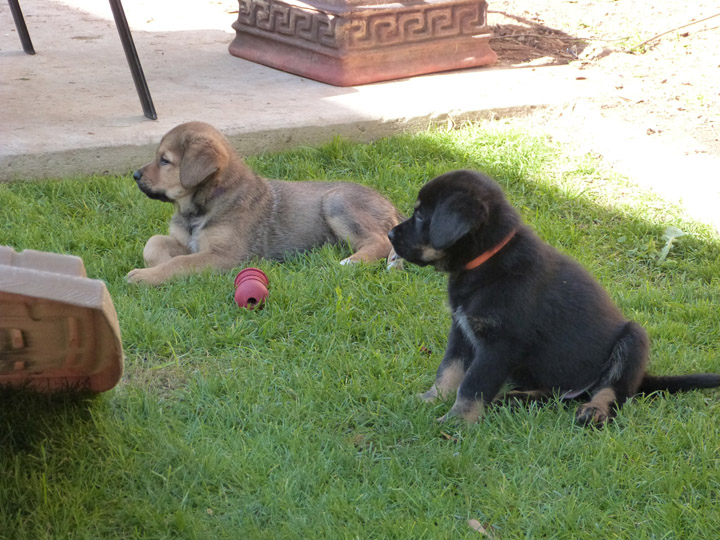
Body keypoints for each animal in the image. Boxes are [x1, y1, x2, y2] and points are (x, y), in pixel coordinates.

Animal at [126, 121, 402, 284]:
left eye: (164, 160)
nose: (135, 176)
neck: (200, 208)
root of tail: (391, 206)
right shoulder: (191, 244)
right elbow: (154, 243)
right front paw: (156, 264)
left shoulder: (226, 256)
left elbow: (180, 263)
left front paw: (146, 276)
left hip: (337, 200)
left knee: (378, 242)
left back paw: (351, 262)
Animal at [390, 169, 716, 426]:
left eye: (421, 215)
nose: (391, 235)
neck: (487, 259)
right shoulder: (461, 330)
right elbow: (448, 370)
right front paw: (430, 399)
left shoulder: (499, 345)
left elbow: (472, 384)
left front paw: (457, 421)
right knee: (558, 393)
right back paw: (516, 398)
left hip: (633, 338)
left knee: (612, 391)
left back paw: (593, 411)